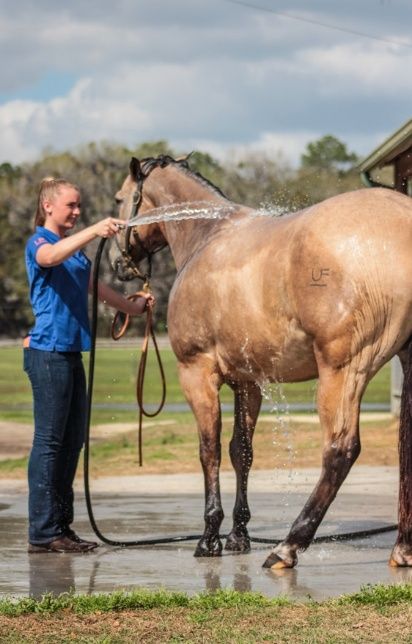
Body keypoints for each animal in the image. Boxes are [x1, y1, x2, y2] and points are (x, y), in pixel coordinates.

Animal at [110, 154, 412, 569]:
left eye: (119, 199)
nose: (117, 263)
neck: (209, 235)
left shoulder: (197, 372)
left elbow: (209, 450)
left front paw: (209, 537)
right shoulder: (248, 382)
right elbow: (242, 452)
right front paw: (238, 535)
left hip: (345, 370)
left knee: (340, 451)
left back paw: (287, 546)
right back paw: (403, 549)